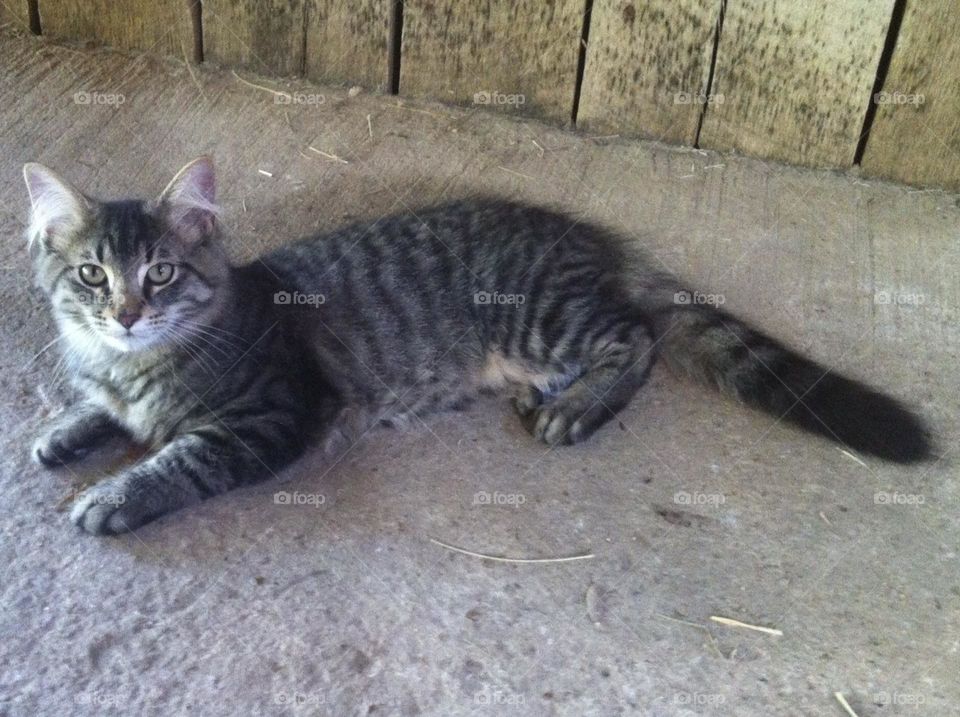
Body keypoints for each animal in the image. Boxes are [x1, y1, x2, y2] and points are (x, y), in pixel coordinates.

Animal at [22, 158, 932, 536]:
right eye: (93, 274)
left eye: (162, 273)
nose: (127, 312)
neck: (138, 362)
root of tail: (585, 236)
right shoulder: (120, 382)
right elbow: (103, 410)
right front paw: (67, 429)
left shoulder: (269, 417)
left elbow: (178, 456)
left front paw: (114, 493)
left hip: (538, 315)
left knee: (636, 337)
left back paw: (577, 408)